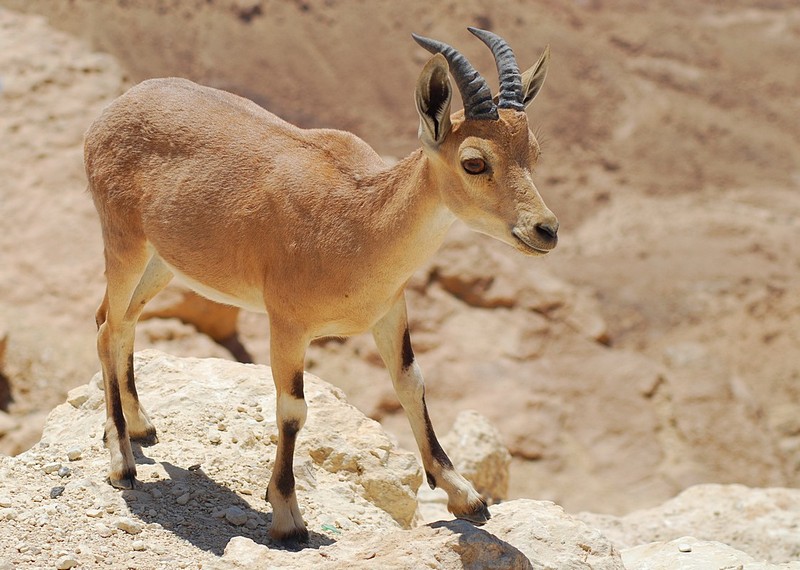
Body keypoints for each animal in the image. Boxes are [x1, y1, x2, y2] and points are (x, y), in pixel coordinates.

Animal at [85, 27, 557, 542]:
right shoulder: (287, 324)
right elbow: (293, 409)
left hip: (162, 261)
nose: (545, 230)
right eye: (474, 162)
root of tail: (115, 108)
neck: (360, 223)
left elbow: (410, 382)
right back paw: (121, 462)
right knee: (108, 327)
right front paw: (287, 516)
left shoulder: (390, 310)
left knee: (121, 320)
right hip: (124, 242)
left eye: (533, 152)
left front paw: (464, 494)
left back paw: (140, 426)